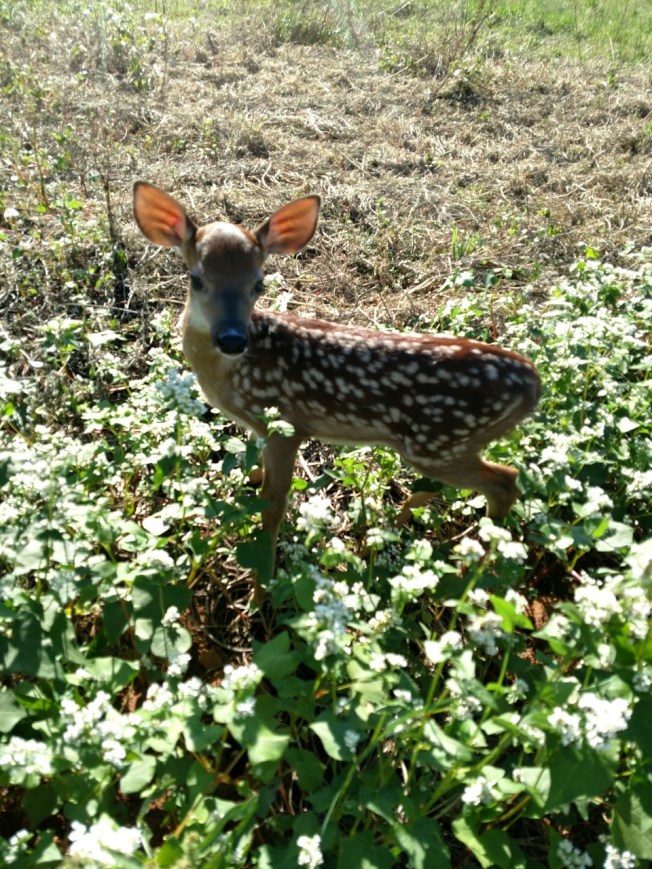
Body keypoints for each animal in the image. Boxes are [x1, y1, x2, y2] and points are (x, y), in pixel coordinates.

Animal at [133, 182, 540, 579]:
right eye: (196, 279)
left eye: (259, 285)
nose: (232, 339)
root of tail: (532, 381)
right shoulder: (262, 427)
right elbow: (257, 475)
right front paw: (246, 483)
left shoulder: (286, 426)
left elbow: (273, 508)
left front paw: (262, 580)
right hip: (446, 447)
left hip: (441, 442)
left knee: (506, 480)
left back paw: (482, 560)